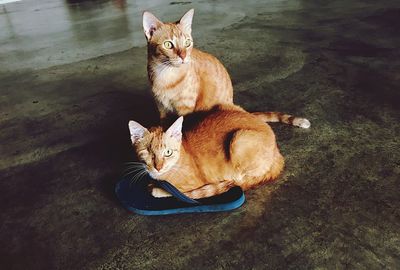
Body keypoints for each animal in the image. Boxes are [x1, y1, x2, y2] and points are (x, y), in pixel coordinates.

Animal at [128, 104, 284, 199]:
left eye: (168, 152)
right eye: (147, 151)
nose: (158, 167)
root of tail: (278, 154)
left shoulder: (192, 184)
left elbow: (177, 192)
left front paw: (156, 188)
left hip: (239, 139)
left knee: (238, 180)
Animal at [142, 8, 310, 129]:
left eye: (187, 43)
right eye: (168, 44)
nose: (183, 56)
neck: (165, 75)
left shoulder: (185, 110)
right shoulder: (162, 109)